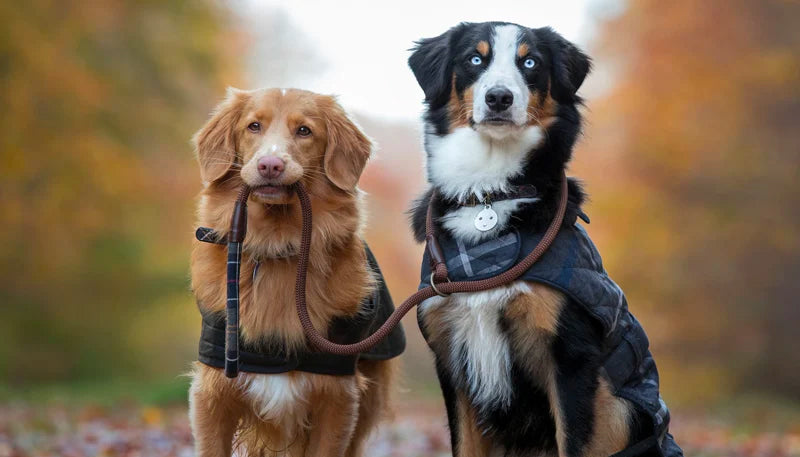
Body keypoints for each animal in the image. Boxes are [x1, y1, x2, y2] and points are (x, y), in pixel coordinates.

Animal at [188, 87, 400, 454]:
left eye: (304, 131)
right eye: (253, 126)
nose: (270, 165)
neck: (277, 246)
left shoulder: (339, 398)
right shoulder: (213, 394)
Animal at [410, 23, 684, 456]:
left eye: (530, 62)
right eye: (475, 58)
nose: (499, 98)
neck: (490, 194)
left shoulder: (570, 357)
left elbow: (571, 440)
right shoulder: (452, 360)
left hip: (620, 408)